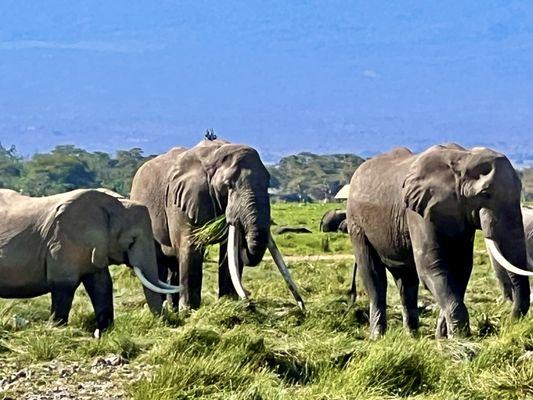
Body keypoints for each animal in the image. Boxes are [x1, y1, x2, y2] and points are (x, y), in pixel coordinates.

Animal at [0, 188, 181, 334]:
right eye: (132, 240)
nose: (167, 324)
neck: (116, 204)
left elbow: (102, 285)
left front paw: (105, 332)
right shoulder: (63, 242)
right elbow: (64, 284)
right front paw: (55, 329)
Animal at [129, 139, 304, 310]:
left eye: (268, 183)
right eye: (228, 185)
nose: (250, 303)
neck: (214, 155)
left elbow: (229, 251)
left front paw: (228, 303)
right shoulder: (181, 201)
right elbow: (191, 248)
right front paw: (190, 311)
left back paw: (172, 308)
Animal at [344, 144, 528, 338]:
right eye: (485, 194)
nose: (509, 322)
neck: (463, 159)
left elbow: (461, 269)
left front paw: (444, 337)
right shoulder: (419, 211)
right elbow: (431, 267)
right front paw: (459, 336)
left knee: (406, 281)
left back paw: (412, 336)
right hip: (356, 223)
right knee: (374, 277)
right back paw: (378, 337)